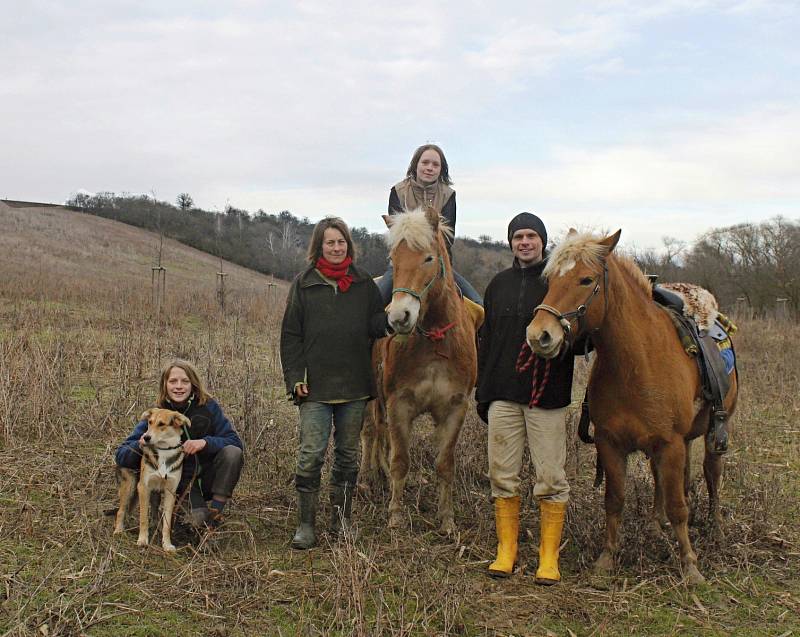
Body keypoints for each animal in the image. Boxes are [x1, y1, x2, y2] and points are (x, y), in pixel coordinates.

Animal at [113, 408, 191, 552]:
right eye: (150, 422)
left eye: (161, 424)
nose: (146, 437)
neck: (164, 450)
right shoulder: (144, 487)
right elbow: (144, 517)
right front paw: (143, 540)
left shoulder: (171, 492)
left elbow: (167, 522)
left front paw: (167, 544)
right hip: (131, 486)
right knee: (121, 511)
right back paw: (119, 530)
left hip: (154, 494)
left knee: (153, 512)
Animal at [362, 207, 482, 532]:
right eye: (394, 259)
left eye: (428, 258)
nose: (399, 317)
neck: (435, 339)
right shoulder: (399, 404)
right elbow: (401, 460)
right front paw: (395, 515)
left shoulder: (455, 408)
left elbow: (445, 464)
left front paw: (447, 519)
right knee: (369, 432)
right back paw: (366, 480)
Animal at [524, 231, 736, 584]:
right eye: (550, 280)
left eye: (586, 279)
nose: (539, 335)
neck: (637, 361)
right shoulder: (611, 443)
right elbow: (615, 500)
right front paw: (607, 558)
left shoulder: (670, 443)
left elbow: (678, 505)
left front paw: (690, 565)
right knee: (660, 480)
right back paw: (655, 525)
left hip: (712, 433)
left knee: (711, 473)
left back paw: (717, 527)